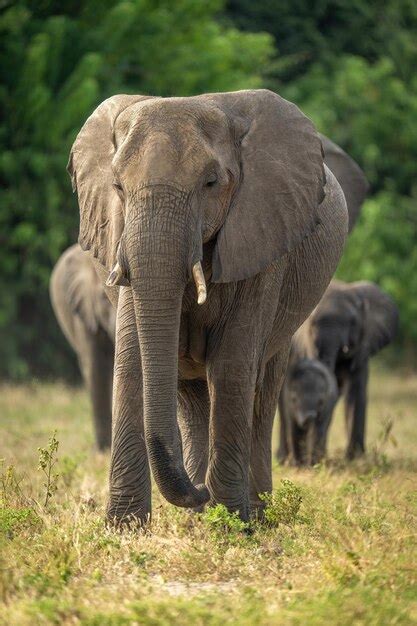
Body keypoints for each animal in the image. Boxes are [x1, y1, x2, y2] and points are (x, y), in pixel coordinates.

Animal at [66, 85, 352, 520]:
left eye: (211, 183)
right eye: (117, 186)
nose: (198, 491)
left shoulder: (262, 235)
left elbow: (232, 366)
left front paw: (231, 522)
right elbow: (132, 362)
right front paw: (124, 527)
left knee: (261, 392)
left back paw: (254, 514)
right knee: (191, 394)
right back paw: (199, 515)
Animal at [278, 278, 398, 458]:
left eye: (353, 322)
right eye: (312, 322)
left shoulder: (363, 347)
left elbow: (355, 391)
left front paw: (355, 458)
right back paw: (284, 457)